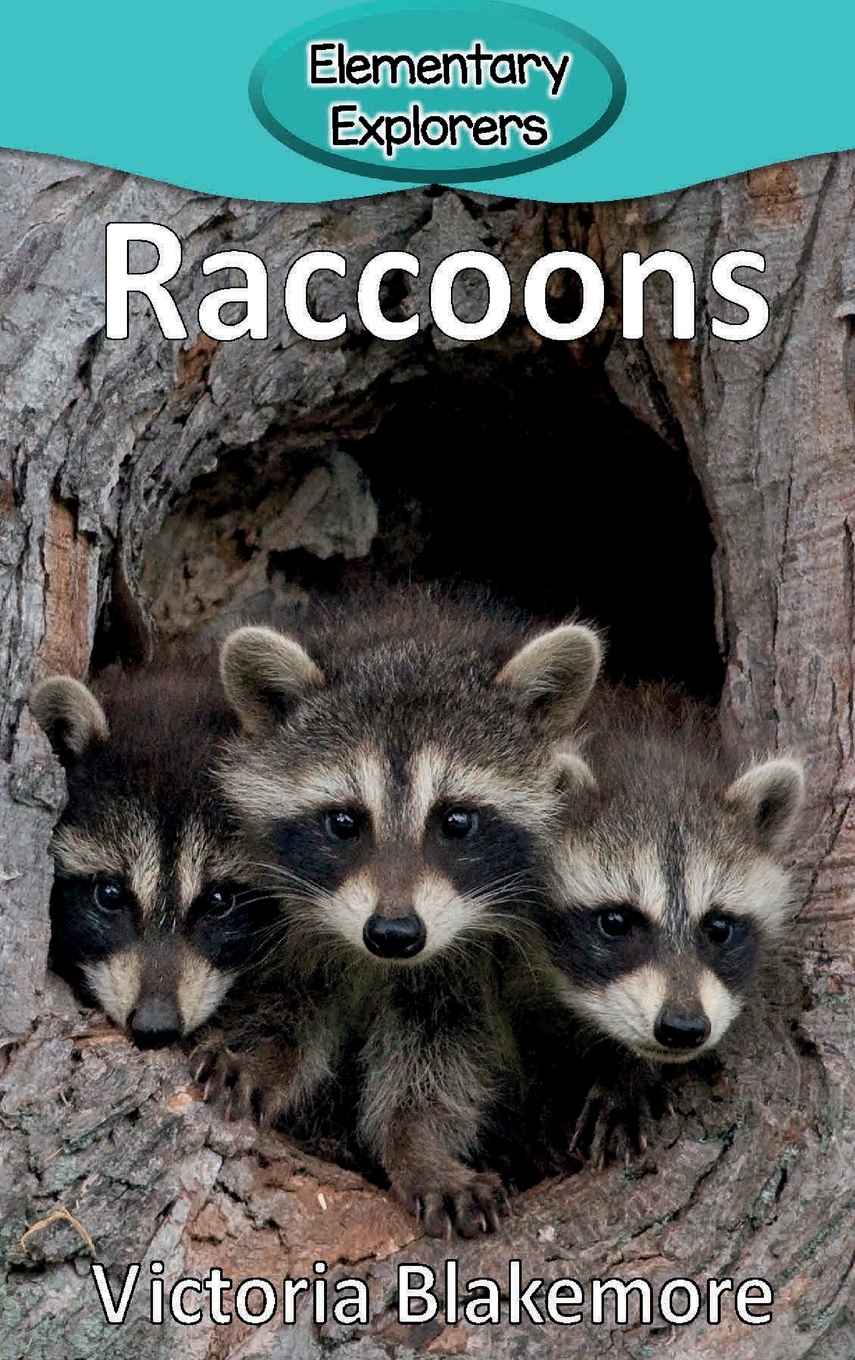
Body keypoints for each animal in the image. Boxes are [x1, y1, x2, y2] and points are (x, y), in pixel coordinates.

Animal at [205, 591, 602, 1236]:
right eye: (344, 822)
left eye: (457, 821)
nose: (393, 934)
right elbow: (290, 1000)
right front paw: (262, 1055)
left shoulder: (467, 961)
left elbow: (437, 1057)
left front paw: (418, 1147)